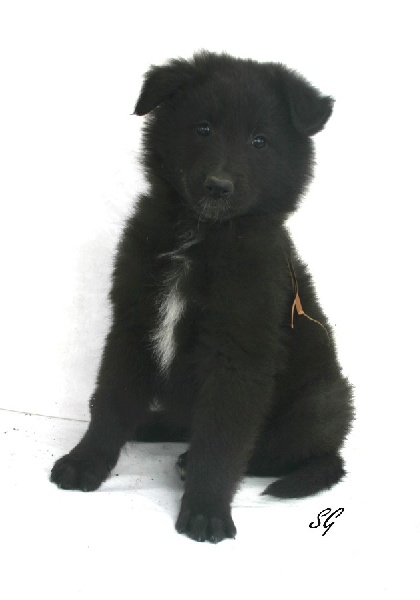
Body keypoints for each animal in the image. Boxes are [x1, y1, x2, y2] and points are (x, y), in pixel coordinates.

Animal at [51, 52, 354, 543]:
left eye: (259, 141)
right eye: (203, 128)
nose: (217, 186)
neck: (200, 237)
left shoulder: (237, 351)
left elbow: (222, 435)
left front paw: (206, 508)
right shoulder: (132, 322)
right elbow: (110, 401)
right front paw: (86, 462)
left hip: (325, 401)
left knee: (282, 450)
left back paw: (188, 460)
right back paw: (151, 425)